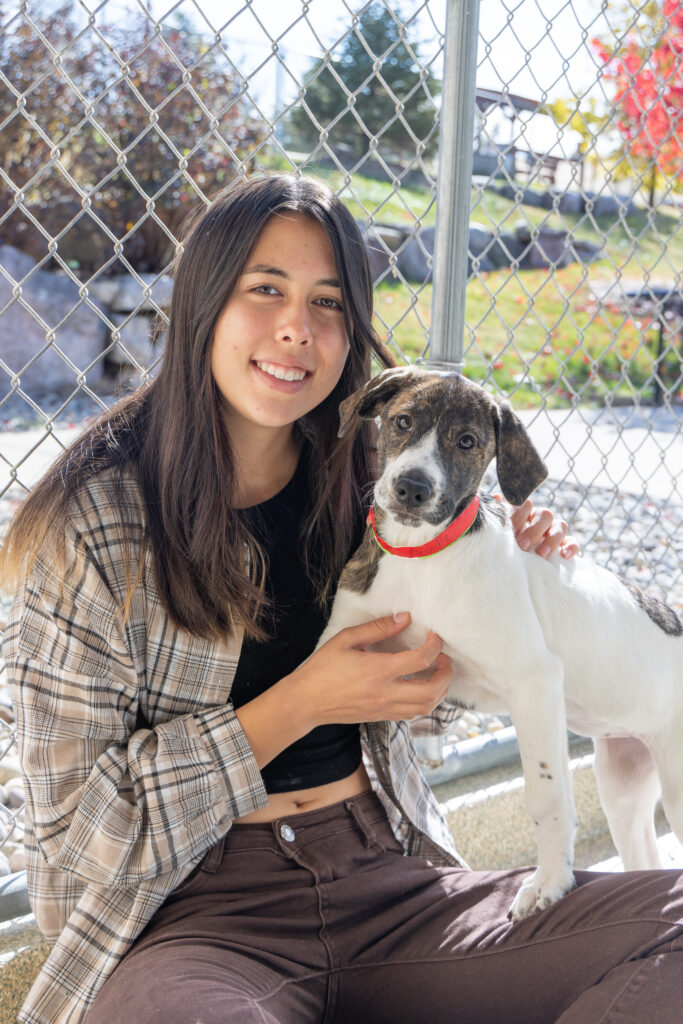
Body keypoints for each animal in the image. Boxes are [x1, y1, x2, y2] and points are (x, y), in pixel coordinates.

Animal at [317, 366, 683, 921]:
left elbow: (546, 797)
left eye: (467, 442)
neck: (420, 557)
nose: (411, 488)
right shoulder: (344, 648)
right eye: (402, 421)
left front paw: (550, 883)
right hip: (624, 777)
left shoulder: (534, 682)